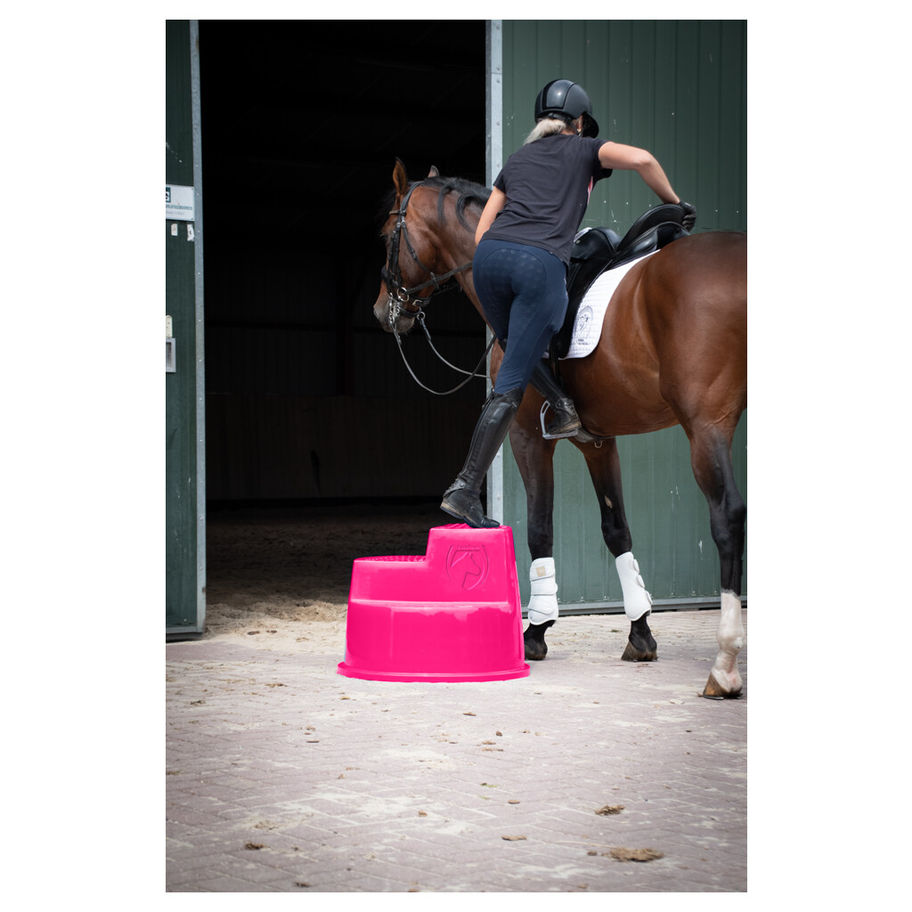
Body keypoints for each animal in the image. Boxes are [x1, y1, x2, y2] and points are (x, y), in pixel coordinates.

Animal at [373, 160, 747, 699]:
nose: (384, 311)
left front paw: (536, 629)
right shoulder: (599, 442)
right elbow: (617, 529)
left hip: (706, 427)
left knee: (727, 518)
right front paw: (640, 631)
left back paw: (724, 663)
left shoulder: (527, 436)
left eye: (387, 235)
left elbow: (540, 528)